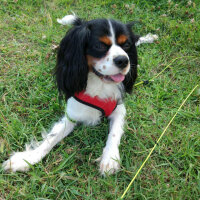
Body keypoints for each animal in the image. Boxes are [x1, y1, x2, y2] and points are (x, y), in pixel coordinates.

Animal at [1, 14, 158, 175]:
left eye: (126, 45)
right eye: (100, 46)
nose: (124, 60)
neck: (99, 83)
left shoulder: (118, 109)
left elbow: (114, 132)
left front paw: (110, 158)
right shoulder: (72, 115)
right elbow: (51, 138)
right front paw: (27, 158)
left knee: (138, 38)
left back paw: (149, 37)